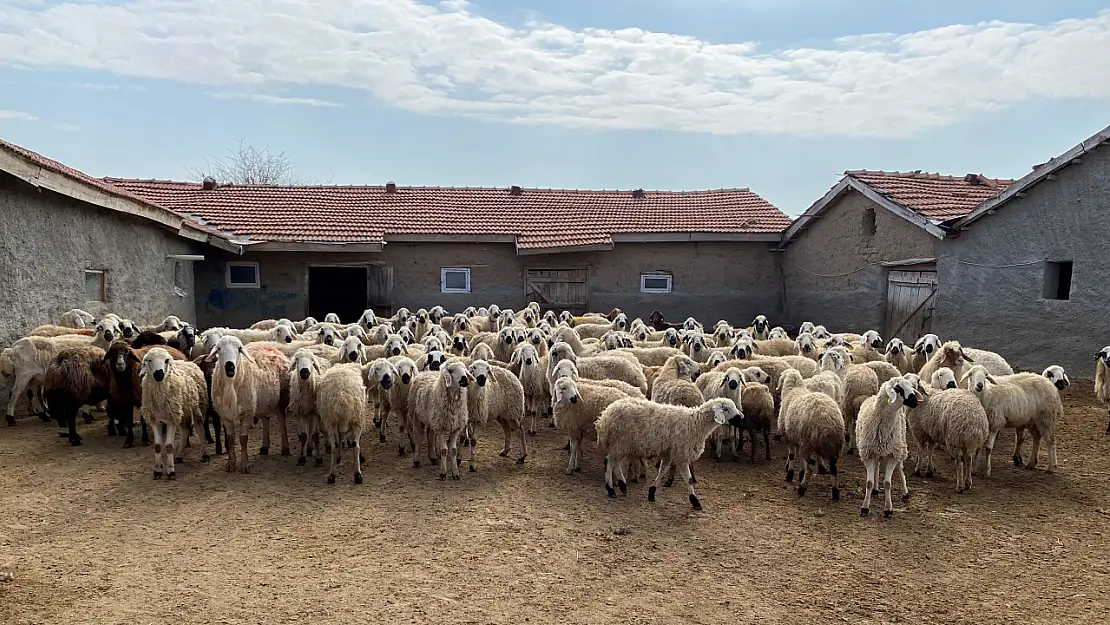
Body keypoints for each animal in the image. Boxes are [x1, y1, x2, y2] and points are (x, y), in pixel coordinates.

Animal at [138, 346, 208, 479]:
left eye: (166, 361)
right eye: (149, 360)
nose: (159, 374)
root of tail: (189, 362)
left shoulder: (171, 419)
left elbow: (169, 446)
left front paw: (170, 471)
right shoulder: (155, 419)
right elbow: (158, 446)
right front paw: (157, 471)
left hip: (197, 404)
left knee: (199, 426)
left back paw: (204, 454)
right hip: (182, 409)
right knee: (185, 428)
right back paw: (180, 455)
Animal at [204, 337, 290, 475]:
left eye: (239, 349)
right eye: (219, 349)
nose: (230, 366)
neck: (231, 385)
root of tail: (272, 346)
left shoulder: (247, 413)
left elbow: (243, 439)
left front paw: (244, 465)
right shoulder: (224, 415)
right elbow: (230, 439)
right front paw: (231, 464)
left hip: (281, 398)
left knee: (282, 420)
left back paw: (285, 448)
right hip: (263, 402)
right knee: (266, 419)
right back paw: (265, 447)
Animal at [599, 399, 745, 510]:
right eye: (726, 409)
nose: (741, 420)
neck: (696, 424)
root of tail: (606, 415)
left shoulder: (669, 453)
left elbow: (662, 471)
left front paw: (652, 492)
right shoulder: (682, 455)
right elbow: (688, 479)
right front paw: (695, 501)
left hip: (623, 445)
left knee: (615, 464)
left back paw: (622, 486)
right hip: (620, 442)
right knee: (610, 464)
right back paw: (611, 489)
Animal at [848, 377, 919, 519]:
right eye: (898, 388)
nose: (915, 402)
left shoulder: (892, 455)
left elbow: (887, 483)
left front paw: (888, 509)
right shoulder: (868, 453)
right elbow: (868, 483)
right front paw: (865, 507)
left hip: (900, 447)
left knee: (900, 469)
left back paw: (905, 492)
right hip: (877, 451)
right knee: (877, 466)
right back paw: (875, 489)